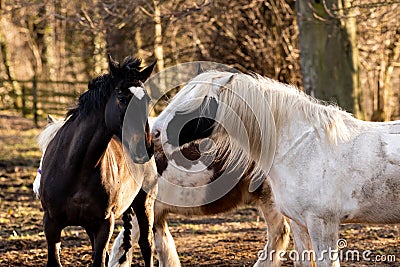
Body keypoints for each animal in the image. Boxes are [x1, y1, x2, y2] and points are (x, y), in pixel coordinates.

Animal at [34, 116, 290, 266]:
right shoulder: (156, 214)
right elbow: (163, 248)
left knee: (279, 234)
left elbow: (121, 249)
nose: (38, 187)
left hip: (270, 200)